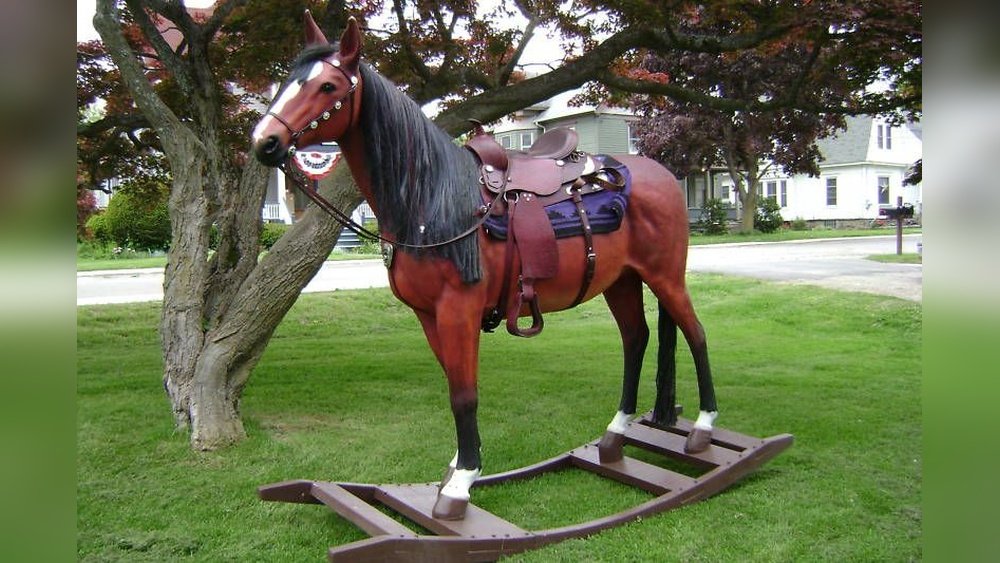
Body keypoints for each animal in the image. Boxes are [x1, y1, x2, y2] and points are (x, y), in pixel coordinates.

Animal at [251, 13, 718, 521]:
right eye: (288, 80)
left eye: (328, 85)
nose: (265, 142)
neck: (430, 199)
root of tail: (663, 176)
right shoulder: (429, 316)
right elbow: (455, 386)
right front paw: (459, 467)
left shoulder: (458, 310)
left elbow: (464, 394)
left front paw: (461, 486)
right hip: (622, 281)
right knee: (636, 340)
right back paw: (614, 436)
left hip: (665, 276)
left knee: (695, 335)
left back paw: (703, 429)